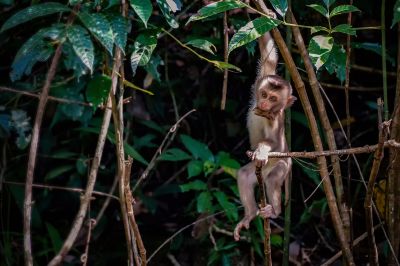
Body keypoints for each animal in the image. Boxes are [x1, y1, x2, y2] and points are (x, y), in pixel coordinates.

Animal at [233, 31, 296, 241]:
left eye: (274, 98)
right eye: (264, 94)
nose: (265, 103)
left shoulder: (275, 119)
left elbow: (274, 141)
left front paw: (261, 151)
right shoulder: (263, 77)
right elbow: (269, 55)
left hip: (283, 165)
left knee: (273, 179)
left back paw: (274, 212)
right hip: (257, 172)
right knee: (244, 176)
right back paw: (250, 214)